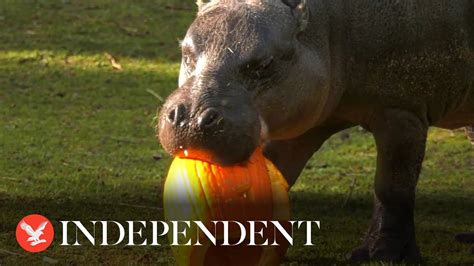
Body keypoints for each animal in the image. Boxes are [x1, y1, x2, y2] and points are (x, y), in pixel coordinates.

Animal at [159, 0, 474, 262]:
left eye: (264, 64)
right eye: (186, 51)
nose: (190, 119)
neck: (325, 28)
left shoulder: (402, 111)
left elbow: (392, 187)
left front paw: (381, 254)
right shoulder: (308, 119)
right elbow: (277, 171)